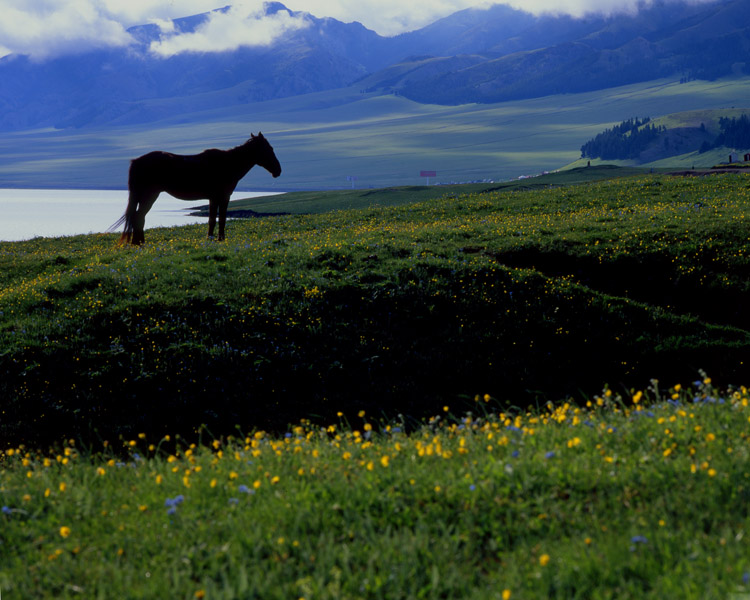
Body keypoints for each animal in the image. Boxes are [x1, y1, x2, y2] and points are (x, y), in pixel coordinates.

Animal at [113, 132, 284, 245]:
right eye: (268, 149)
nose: (278, 170)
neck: (228, 164)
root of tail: (137, 161)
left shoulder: (215, 198)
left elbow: (214, 220)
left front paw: (213, 238)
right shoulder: (222, 197)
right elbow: (218, 219)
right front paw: (218, 239)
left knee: (139, 217)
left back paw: (139, 242)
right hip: (150, 195)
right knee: (139, 216)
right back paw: (138, 243)